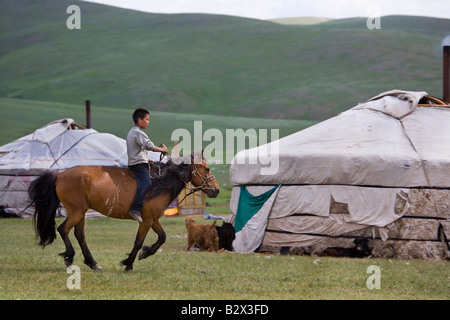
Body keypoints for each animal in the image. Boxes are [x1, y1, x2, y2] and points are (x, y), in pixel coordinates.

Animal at [28, 152, 220, 270]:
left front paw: (145, 254)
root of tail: (59, 175)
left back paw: (92, 263)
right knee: (63, 229)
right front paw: (129, 262)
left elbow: (162, 238)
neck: (159, 182)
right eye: (207, 169)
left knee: (79, 235)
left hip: (80, 213)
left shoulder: (153, 220)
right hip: (76, 212)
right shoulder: (146, 221)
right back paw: (69, 257)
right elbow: (138, 242)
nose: (216, 190)